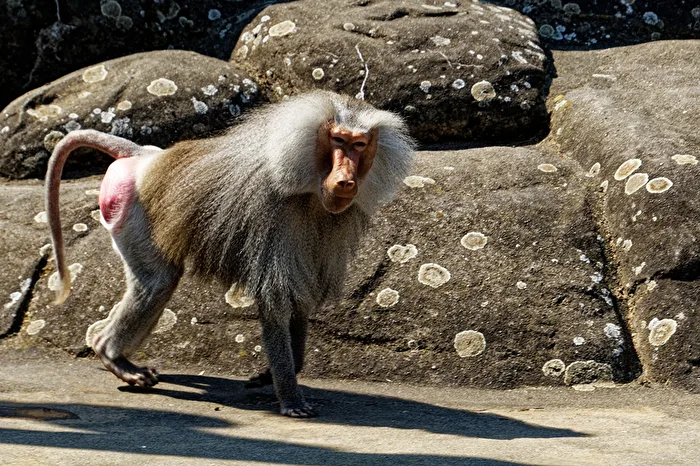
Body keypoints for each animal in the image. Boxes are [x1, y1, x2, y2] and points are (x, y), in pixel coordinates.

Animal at [45, 91, 415, 417]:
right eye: (338, 140)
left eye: (359, 145)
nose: (346, 180)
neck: (306, 184)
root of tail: (149, 157)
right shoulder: (270, 212)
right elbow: (275, 297)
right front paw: (290, 398)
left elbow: (300, 295)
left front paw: (277, 372)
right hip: (133, 211)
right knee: (157, 282)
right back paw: (111, 354)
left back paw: (108, 350)